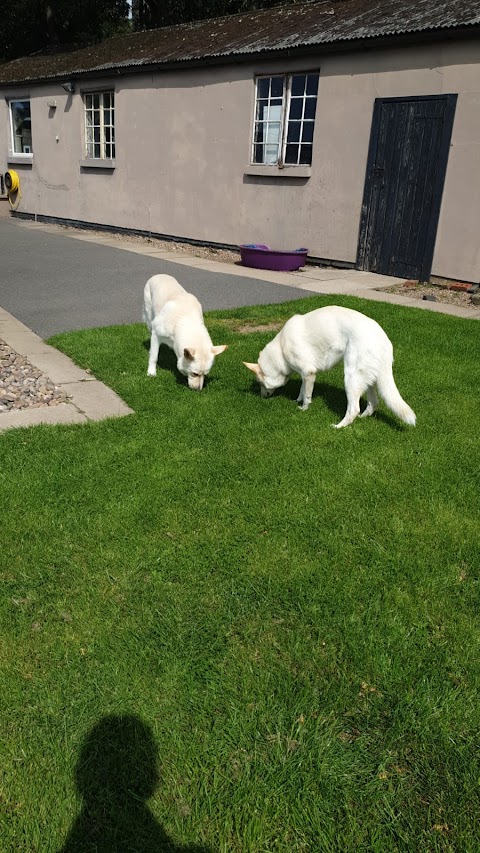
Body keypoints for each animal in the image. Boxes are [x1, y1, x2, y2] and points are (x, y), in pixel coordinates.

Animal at [244, 302, 416, 430]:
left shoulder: (308, 372)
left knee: (353, 409)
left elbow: (307, 395)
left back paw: (339, 426)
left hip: (351, 378)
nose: (262, 397)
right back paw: (363, 417)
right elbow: (301, 389)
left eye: (260, 383)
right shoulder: (304, 374)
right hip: (369, 380)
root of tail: (383, 339)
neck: (280, 350)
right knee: (373, 403)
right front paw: (297, 400)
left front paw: (304, 408)